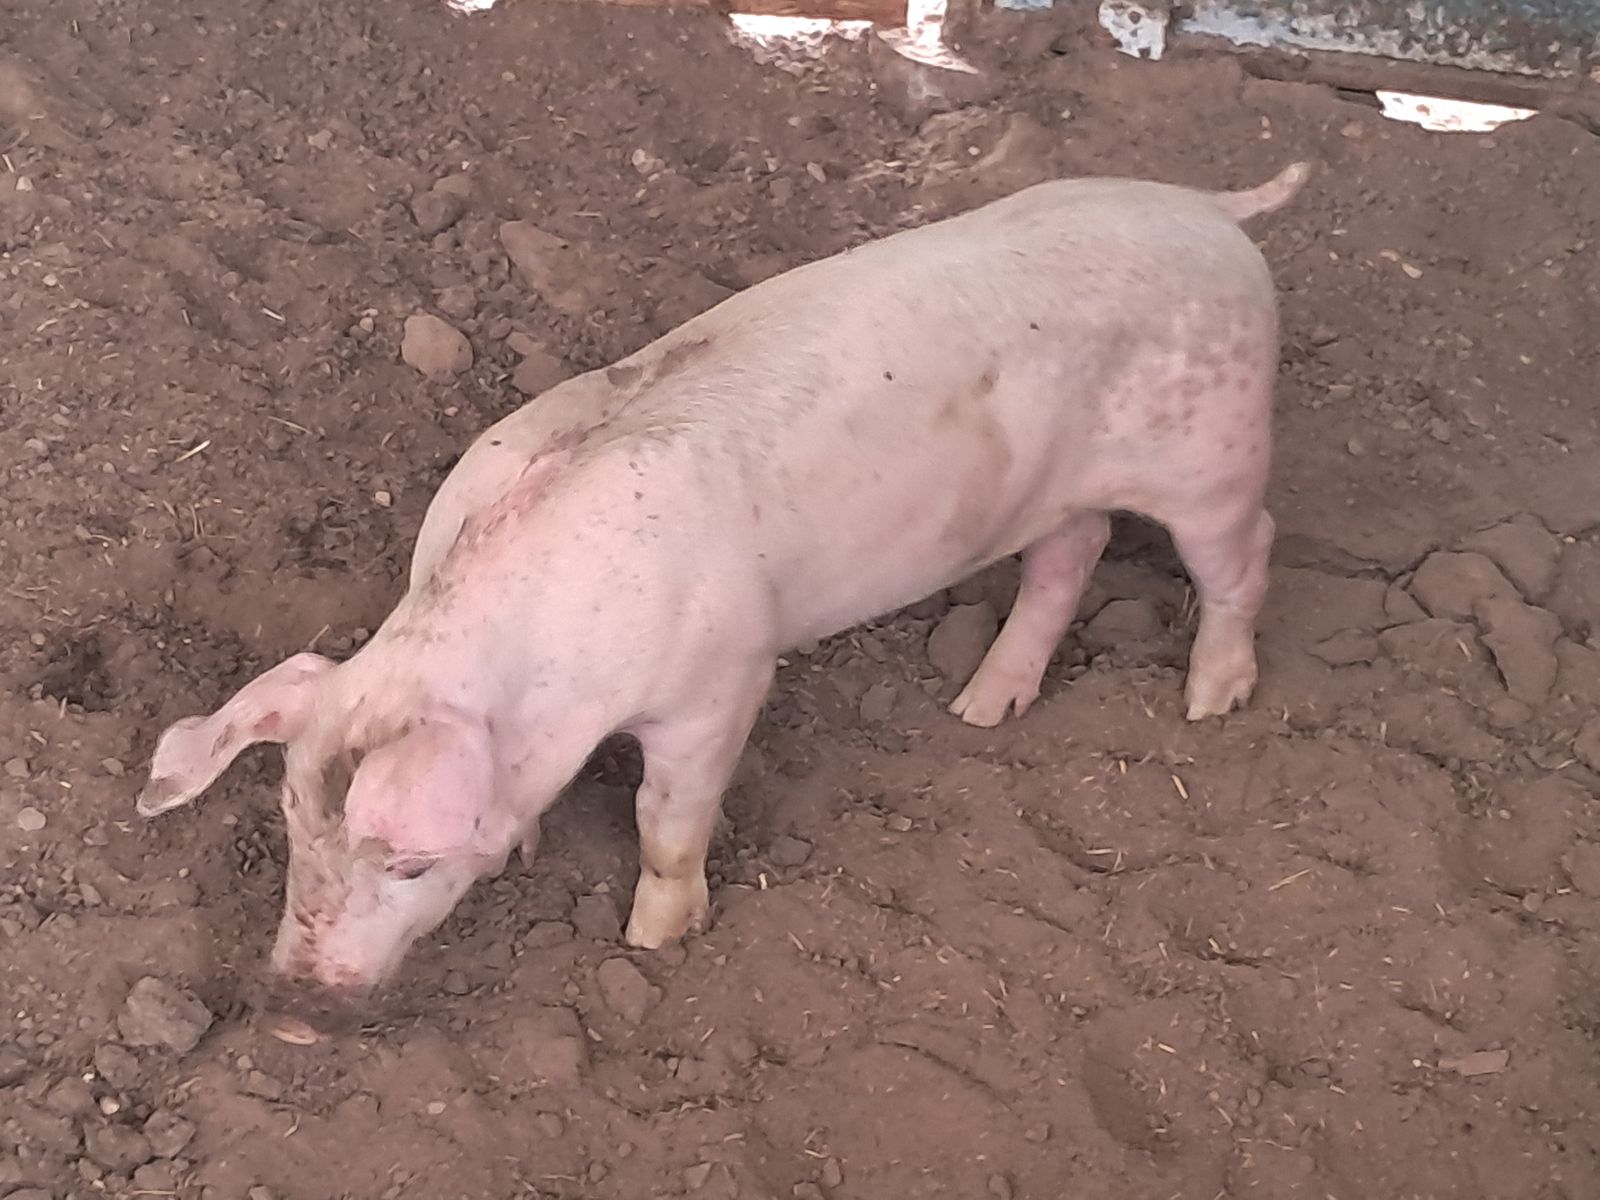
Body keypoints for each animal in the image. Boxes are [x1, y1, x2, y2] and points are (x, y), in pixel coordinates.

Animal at [137, 161, 1309, 1001]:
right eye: (294, 829)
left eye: (413, 870)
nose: (293, 1012)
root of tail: (1210, 210)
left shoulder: (721, 685)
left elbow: (667, 822)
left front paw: (652, 946)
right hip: (1060, 493)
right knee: (1073, 548)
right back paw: (978, 709)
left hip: (1214, 454)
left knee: (1246, 549)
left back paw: (1210, 702)